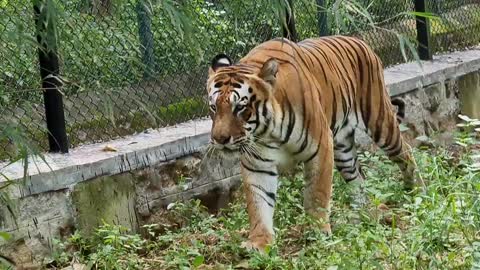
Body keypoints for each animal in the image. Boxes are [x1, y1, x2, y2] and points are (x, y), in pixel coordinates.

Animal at [204, 35, 418, 251]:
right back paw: (367, 213)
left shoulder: (321, 147)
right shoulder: (257, 164)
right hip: (343, 150)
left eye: (240, 107)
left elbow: (317, 194)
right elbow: (258, 202)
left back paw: (416, 190)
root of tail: (358, 39)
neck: (268, 131)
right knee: (358, 177)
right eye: (213, 107)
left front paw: (319, 233)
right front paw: (259, 241)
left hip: (380, 122)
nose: (219, 139)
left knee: (406, 152)